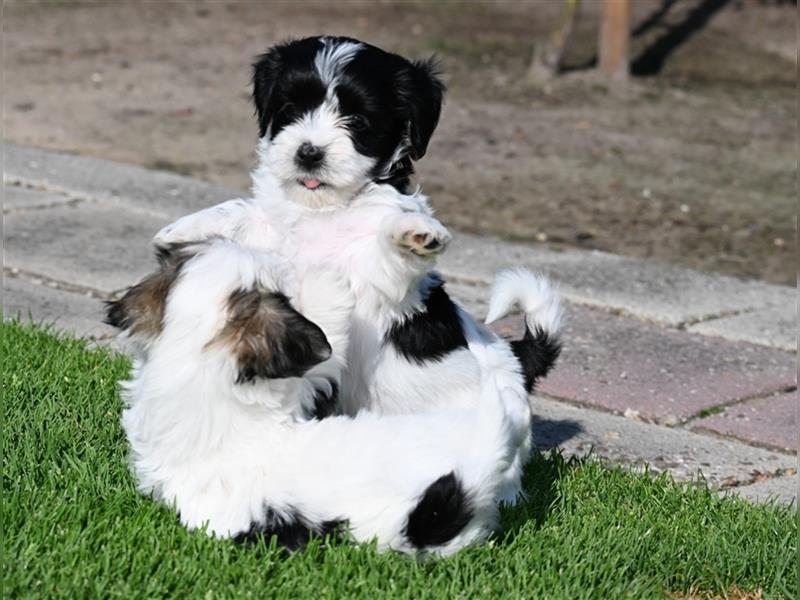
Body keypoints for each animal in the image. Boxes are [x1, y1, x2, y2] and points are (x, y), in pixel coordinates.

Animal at [153, 36, 560, 502]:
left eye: (358, 121)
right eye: (290, 109)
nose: (309, 153)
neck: (323, 211)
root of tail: (518, 359)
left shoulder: (377, 277)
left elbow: (387, 246)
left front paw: (414, 233)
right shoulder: (275, 241)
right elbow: (243, 215)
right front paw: (185, 229)